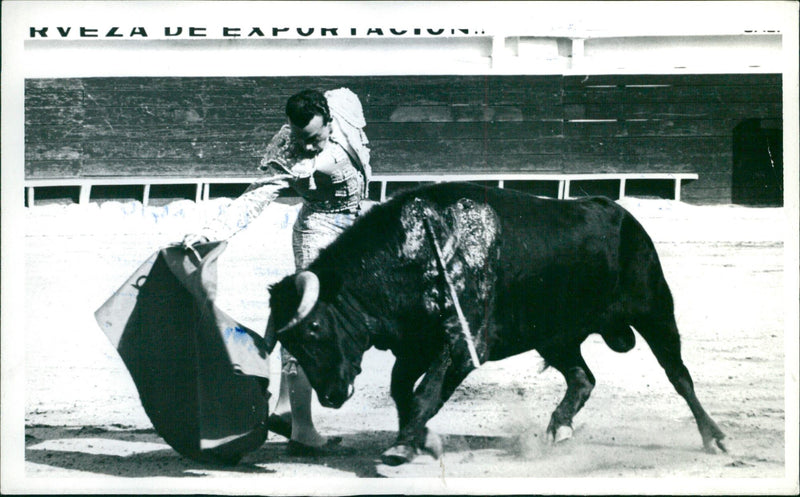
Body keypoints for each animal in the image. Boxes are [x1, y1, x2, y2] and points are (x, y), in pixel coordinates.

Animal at [266, 182, 728, 464]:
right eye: (290, 342)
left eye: (314, 329)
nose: (330, 396)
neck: (416, 250)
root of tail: (620, 215)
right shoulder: (414, 347)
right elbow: (403, 392)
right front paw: (415, 439)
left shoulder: (463, 346)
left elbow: (424, 393)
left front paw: (402, 447)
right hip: (555, 336)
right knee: (583, 378)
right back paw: (559, 429)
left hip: (655, 311)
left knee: (679, 376)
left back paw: (714, 436)